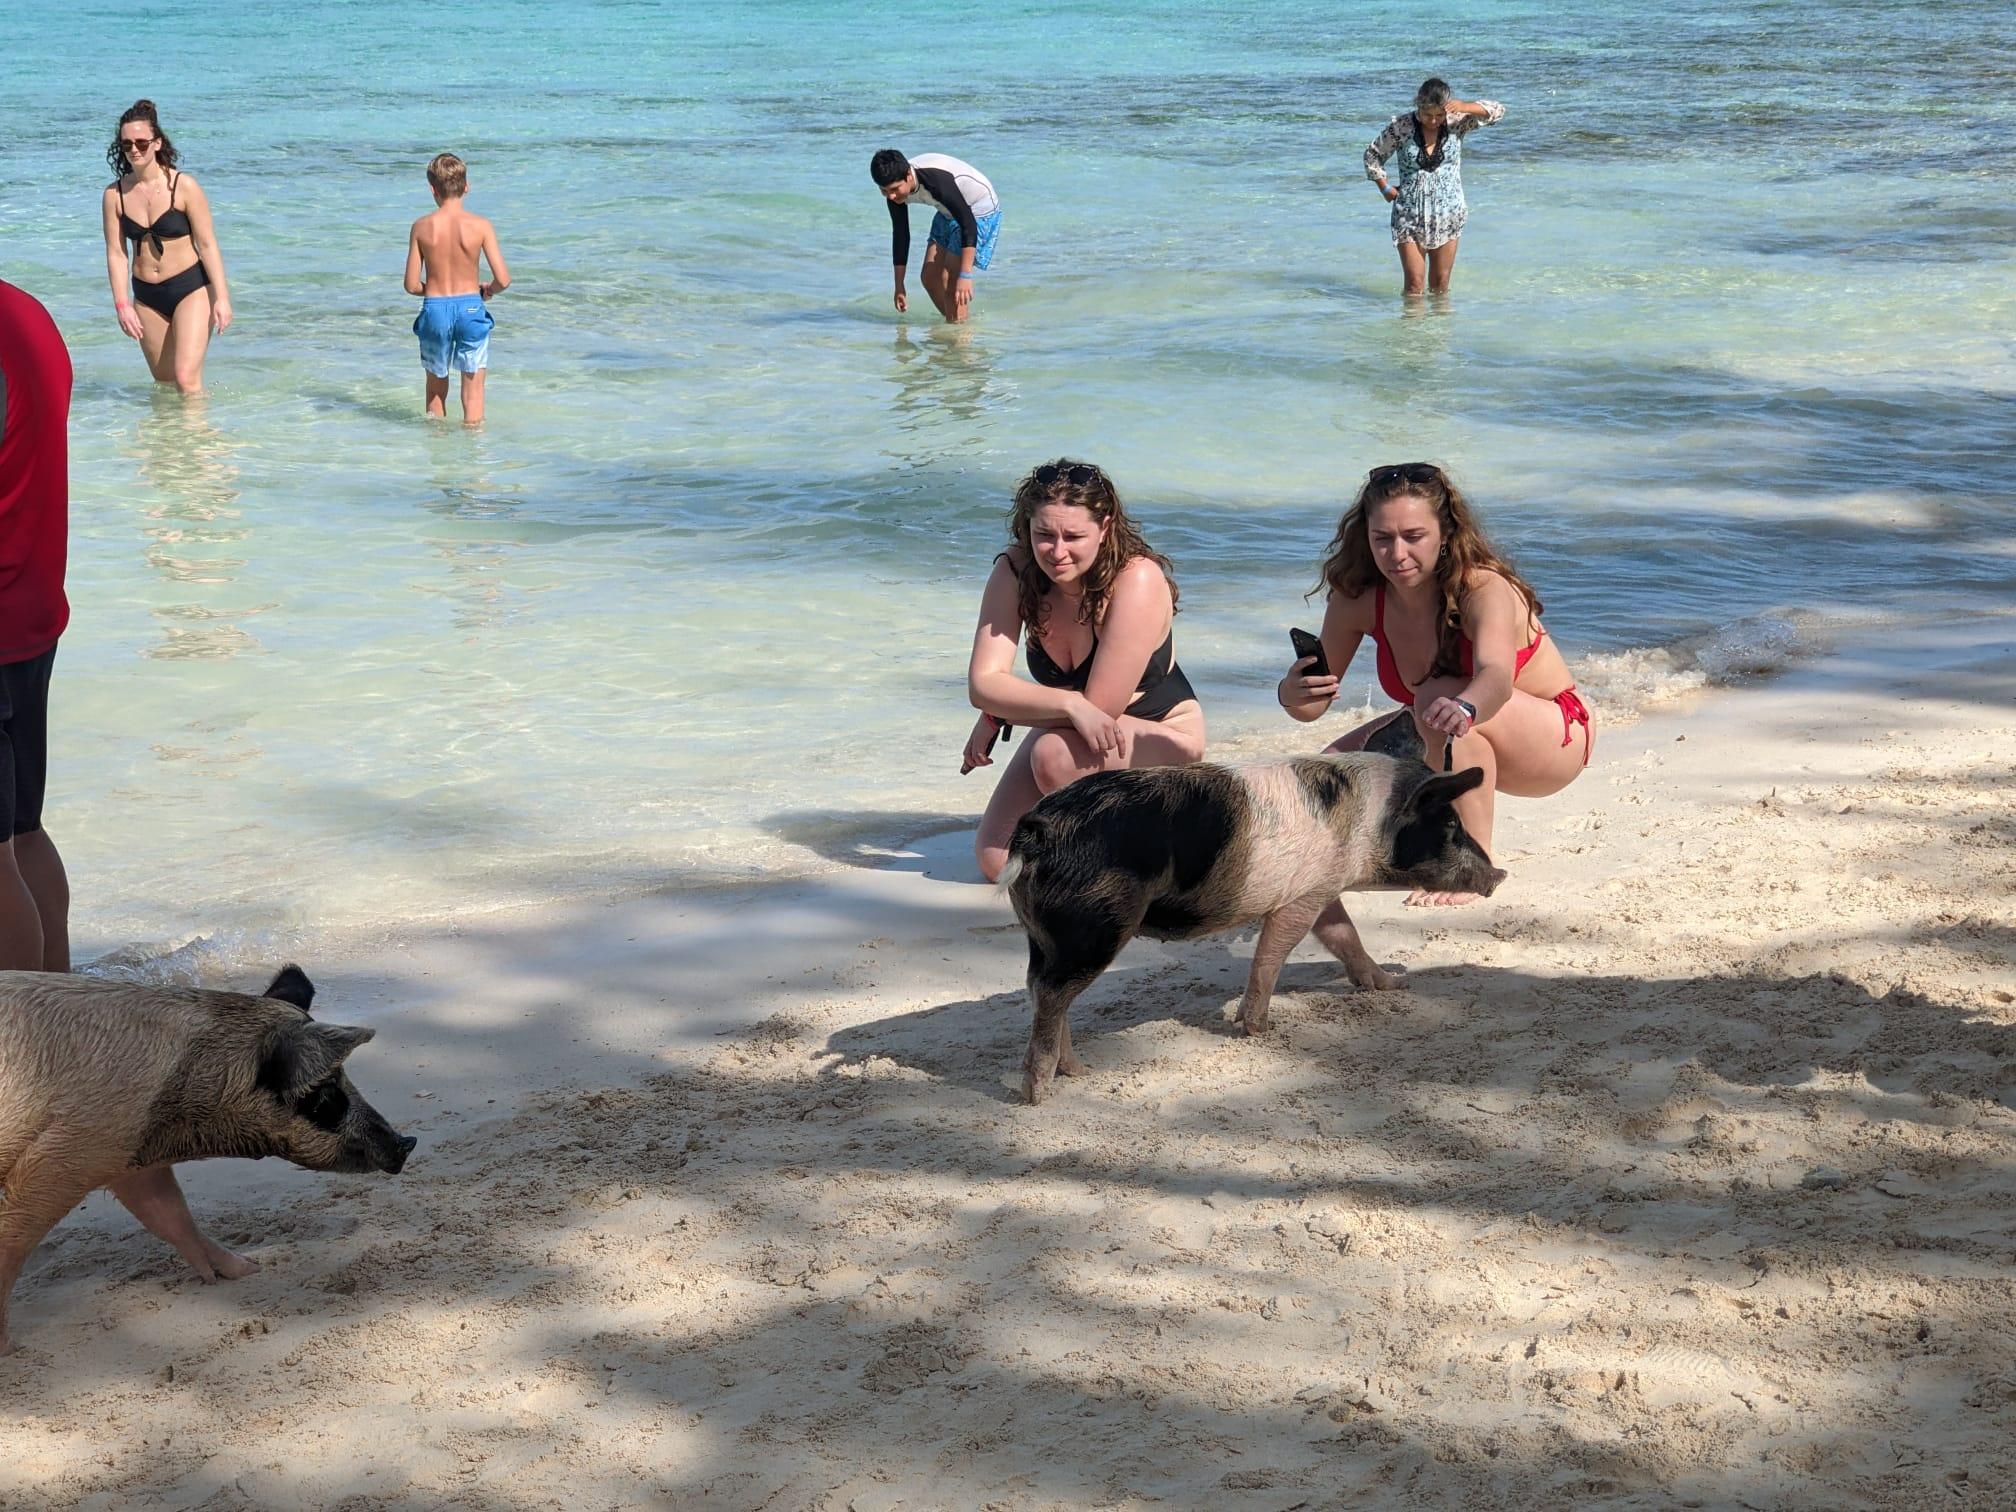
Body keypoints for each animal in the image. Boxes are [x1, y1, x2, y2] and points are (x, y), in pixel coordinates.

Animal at [0, 965, 414, 1355]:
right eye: (326, 1097)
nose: (407, 1142)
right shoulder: (66, 1151)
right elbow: (15, 1239)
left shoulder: (122, 1154)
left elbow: (170, 1212)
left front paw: (244, 1270)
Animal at [1001, 753, 1506, 1103]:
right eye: (1451, 826)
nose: (1499, 875)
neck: (1369, 823)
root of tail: (1036, 829)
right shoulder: (1300, 897)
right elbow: (1274, 953)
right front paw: (1257, 1028)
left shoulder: (1321, 889)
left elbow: (1345, 937)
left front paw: (1391, 985)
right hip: (1094, 926)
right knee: (1051, 993)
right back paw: (1041, 1094)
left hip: (1045, 936)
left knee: (1042, 990)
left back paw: (1079, 1072)